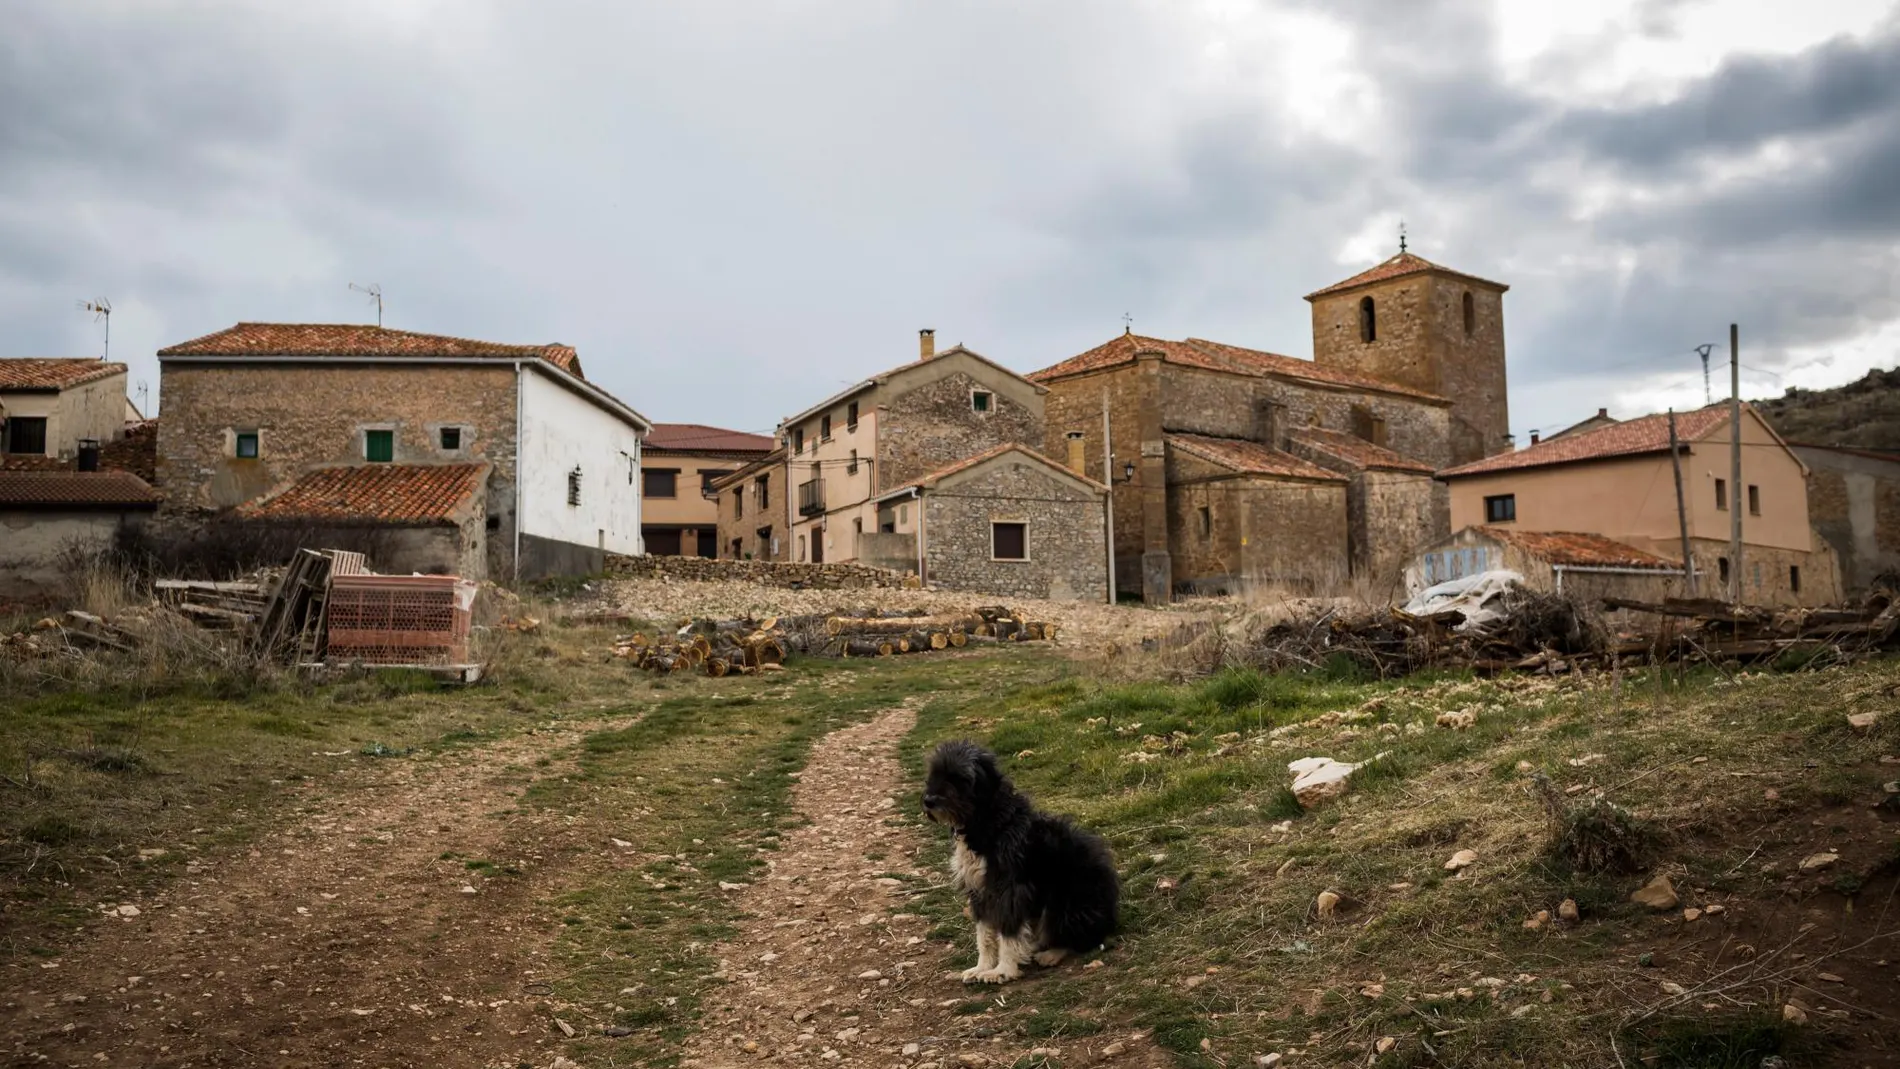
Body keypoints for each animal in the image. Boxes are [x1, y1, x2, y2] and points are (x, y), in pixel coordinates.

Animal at [919, 740, 1109, 979]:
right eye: (935, 773)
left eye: (958, 777)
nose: (929, 801)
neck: (988, 821)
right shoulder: (979, 891)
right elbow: (984, 934)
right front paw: (982, 966)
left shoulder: (1010, 890)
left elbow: (1008, 934)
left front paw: (1003, 970)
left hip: (1065, 903)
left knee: (1078, 939)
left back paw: (1050, 953)